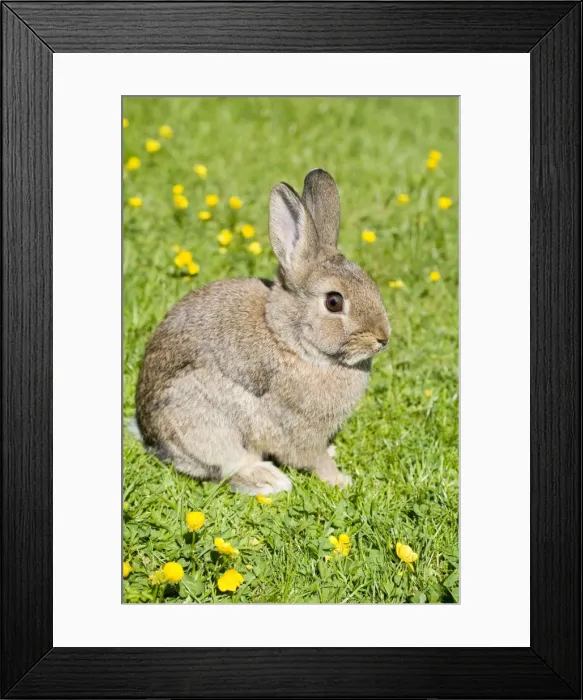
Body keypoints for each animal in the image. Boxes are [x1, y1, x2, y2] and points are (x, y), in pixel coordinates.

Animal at [134, 169, 390, 494]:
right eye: (334, 302)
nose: (383, 338)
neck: (288, 340)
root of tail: (150, 437)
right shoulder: (297, 429)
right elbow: (314, 459)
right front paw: (341, 481)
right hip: (203, 426)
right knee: (226, 469)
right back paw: (269, 480)